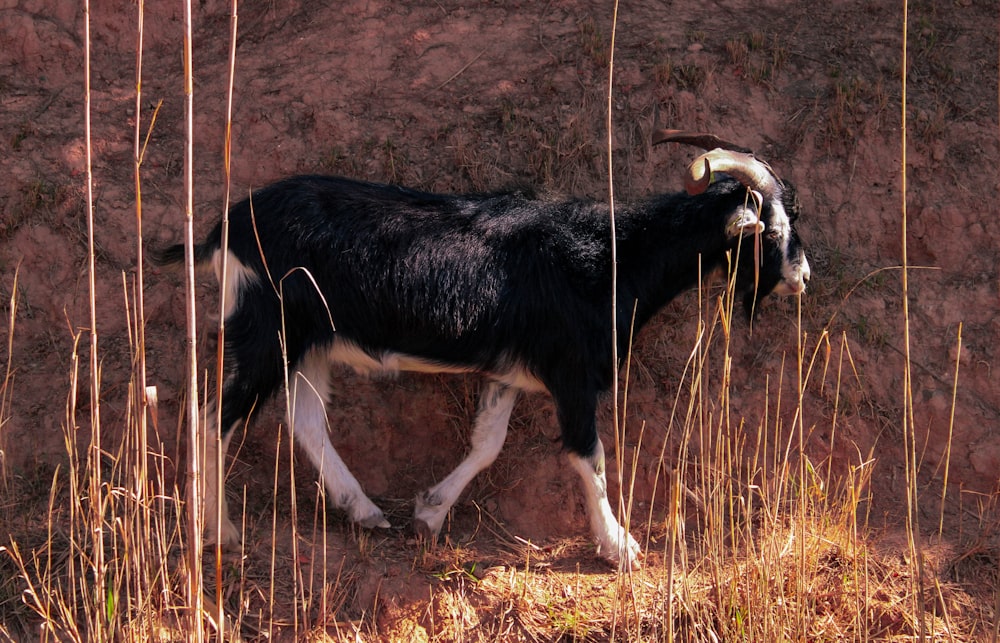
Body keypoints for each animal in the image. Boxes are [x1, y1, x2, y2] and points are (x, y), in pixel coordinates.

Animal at [158, 130, 812, 568]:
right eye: (776, 227)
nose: (803, 275)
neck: (615, 254)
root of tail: (225, 230)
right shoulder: (573, 374)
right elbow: (590, 458)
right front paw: (619, 547)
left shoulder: (509, 371)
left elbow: (487, 444)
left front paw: (429, 512)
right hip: (267, 333)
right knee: (211, 416)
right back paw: (216, 530)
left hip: (308, 344)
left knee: (307, 421)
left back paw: (365, 510)